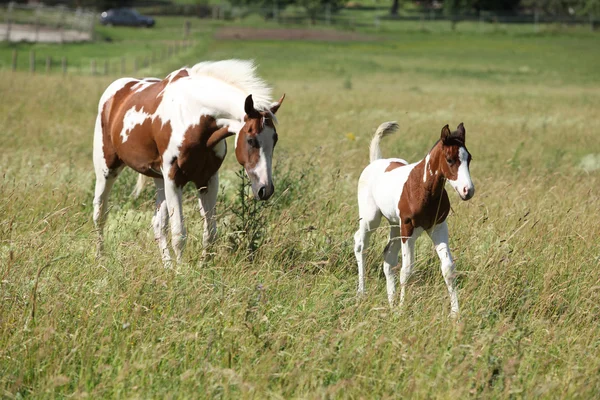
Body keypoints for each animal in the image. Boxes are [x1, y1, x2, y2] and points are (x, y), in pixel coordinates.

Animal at [92, 59, 284, 264]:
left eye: (275, 140)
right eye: (251, 140)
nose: (265, 189)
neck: (193, 116)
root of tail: (114, 94)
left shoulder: (207, 179)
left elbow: (210, 232)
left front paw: (203, 265)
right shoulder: (174, 179)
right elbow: (179, 234)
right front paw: (181, 269)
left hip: (159, 180)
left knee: (158, 225)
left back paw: (167, 265)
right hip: (107, 170)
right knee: (100, 215)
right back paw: (101, 258)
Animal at [354, 120, 476, 318]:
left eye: (469, 159)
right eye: (450, 159)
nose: (468, 191)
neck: (423, 188)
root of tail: (375, 162)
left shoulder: (438, 227)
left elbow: (448, 268)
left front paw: (455, 314)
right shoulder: (409, 228)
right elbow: (407, 270)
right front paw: (403, 309)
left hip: (395, 225)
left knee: (388, 256)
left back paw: (391, 303)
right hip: (371, 219)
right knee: (361, 245)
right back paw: (361, 293)